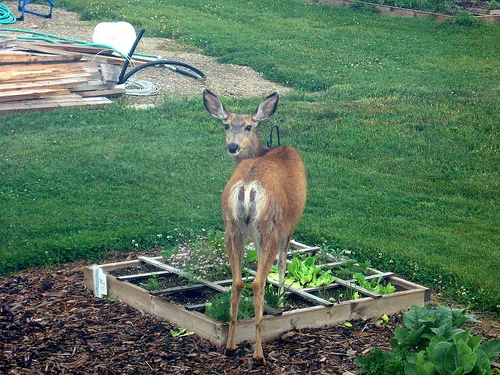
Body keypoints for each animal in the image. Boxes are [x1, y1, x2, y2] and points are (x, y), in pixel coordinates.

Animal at [202, 89, 304, 366]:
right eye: (226, 125)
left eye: (247, 126)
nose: (232, 146)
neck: (265, 151)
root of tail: (248, 186)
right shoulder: (290, 222)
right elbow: (283, 264)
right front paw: (281, 300)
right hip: (270, 225)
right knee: (258, 281)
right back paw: (259, 353)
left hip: (231, 225)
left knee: (237, 281)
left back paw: (229, 345)